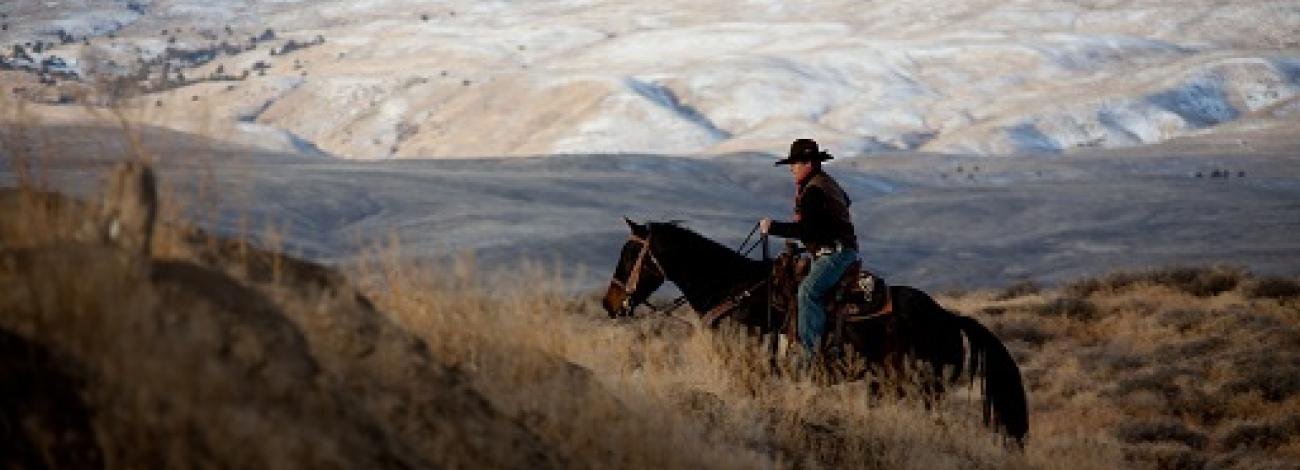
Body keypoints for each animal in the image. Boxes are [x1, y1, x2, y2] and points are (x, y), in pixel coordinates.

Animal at [603, 218, 1029, 441]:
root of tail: (947, 316)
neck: (734, 288)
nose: (610, 304)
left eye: (629, 254)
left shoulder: (747, 367)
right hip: (885, 384)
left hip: (922, 387)